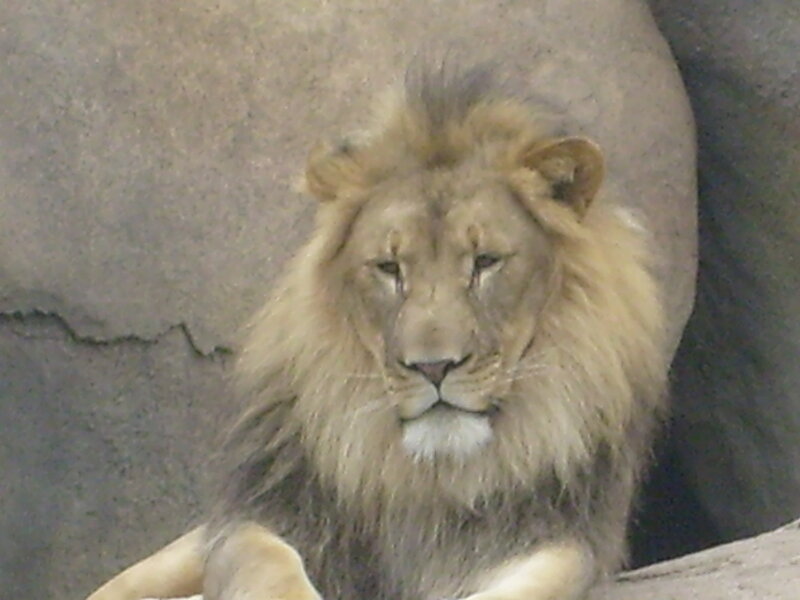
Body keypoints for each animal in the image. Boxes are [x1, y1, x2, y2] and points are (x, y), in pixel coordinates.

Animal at [86, 65, 669, 600]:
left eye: (485, 262)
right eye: (390, 268)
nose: (433, 367)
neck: (428, 481)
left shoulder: (563, 539)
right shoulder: (258, 517)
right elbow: (266, 562)